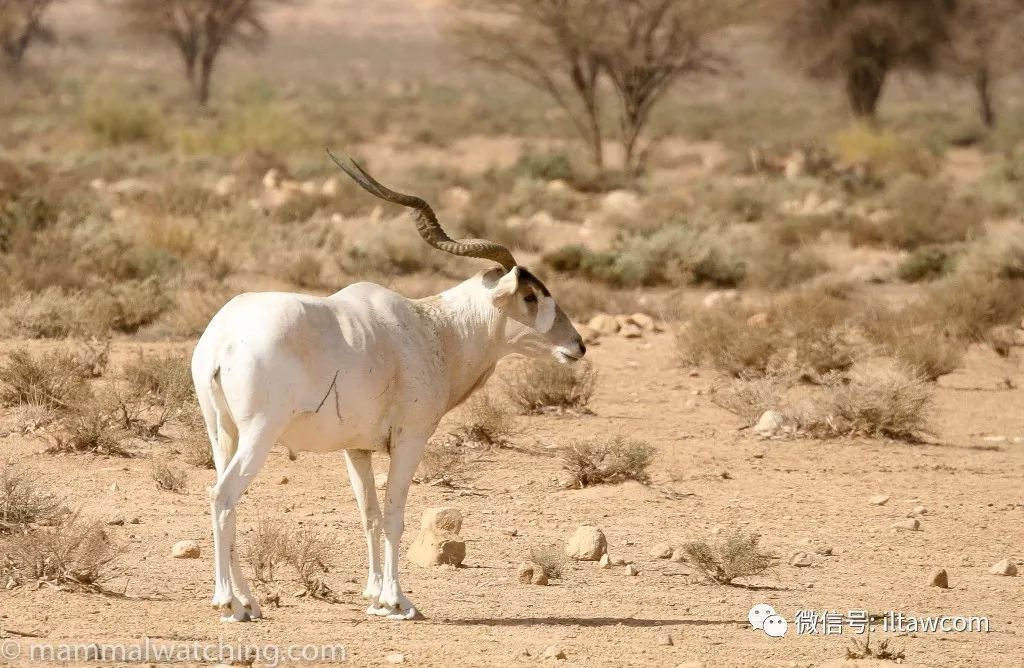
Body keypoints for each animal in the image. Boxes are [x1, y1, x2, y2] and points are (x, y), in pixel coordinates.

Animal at [190, 151, 585, 622]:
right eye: (530, 296)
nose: (577, 345)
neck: (435, 328)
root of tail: (221, 339)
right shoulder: (410, 438)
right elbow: (395, 514)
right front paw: (399, 601)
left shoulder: (356, 449)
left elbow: (370, 515)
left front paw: (375, 596)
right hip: (259, 434)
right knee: (223, 496)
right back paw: (228, 601)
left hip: (222, 434)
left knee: (225, 496)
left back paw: (249, 602)